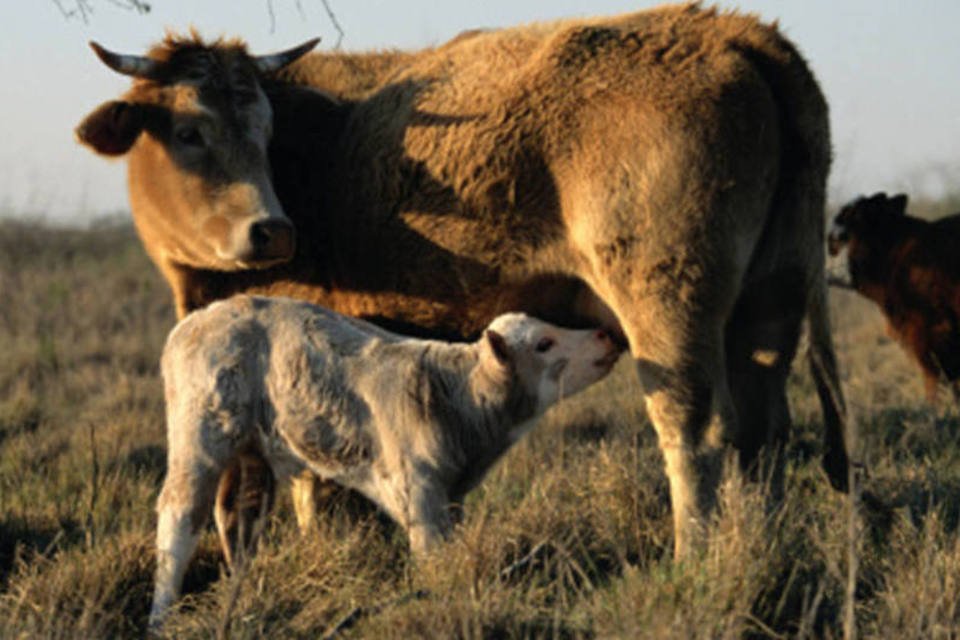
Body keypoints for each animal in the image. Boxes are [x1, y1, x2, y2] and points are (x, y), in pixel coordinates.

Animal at [79, 3, 852, 556]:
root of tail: (737, 33)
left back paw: (694, 557)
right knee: (763, 430)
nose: (273, 230)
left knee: (692, 430)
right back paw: (759, 548)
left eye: (265, 132)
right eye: (189, 132)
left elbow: (293, 478)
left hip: (668, 308)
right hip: (772, 304)